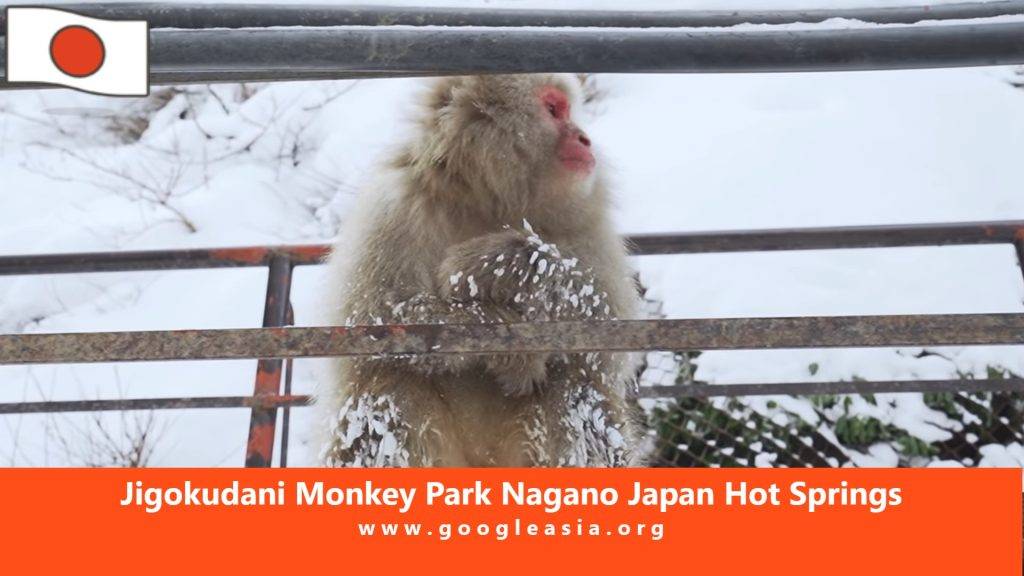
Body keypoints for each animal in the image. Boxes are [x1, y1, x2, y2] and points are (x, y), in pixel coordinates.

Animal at [317, 74, 644, 467]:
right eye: (554, 109)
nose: (584, 138)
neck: (490, 201)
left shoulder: (587, 220)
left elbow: (607, 328)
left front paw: (504, 264)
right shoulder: (394, 204)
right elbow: (376, 319)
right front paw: (513, 349)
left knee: (573, 388)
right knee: (393, 385)